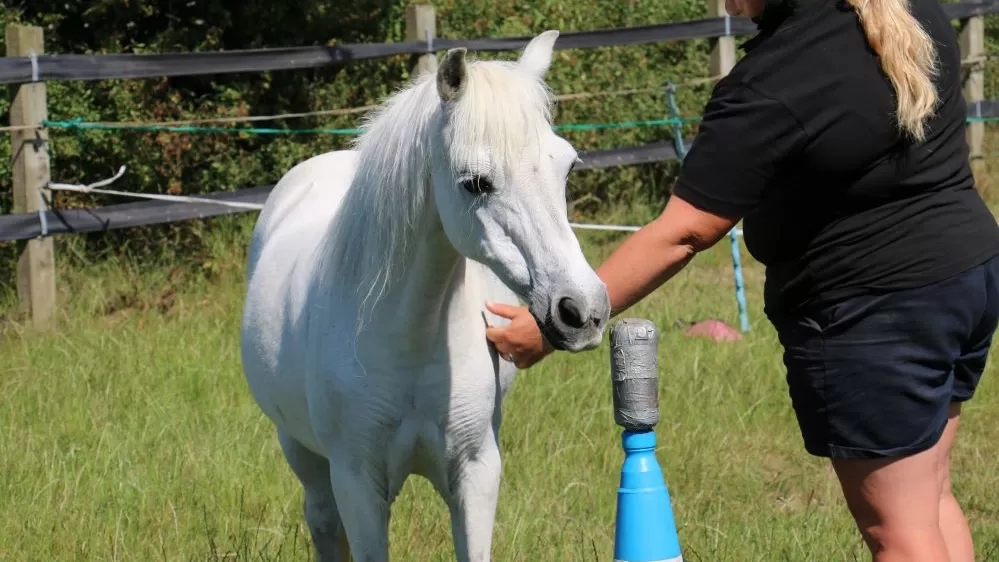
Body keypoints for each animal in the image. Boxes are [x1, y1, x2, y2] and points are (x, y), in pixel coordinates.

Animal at [239, 30, 610, 561]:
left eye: (567, 167)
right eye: (476, 182)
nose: (582, 310)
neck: (407, 341)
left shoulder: (476, 473)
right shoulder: (358, 485)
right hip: (303, 456)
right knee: (323, 521)